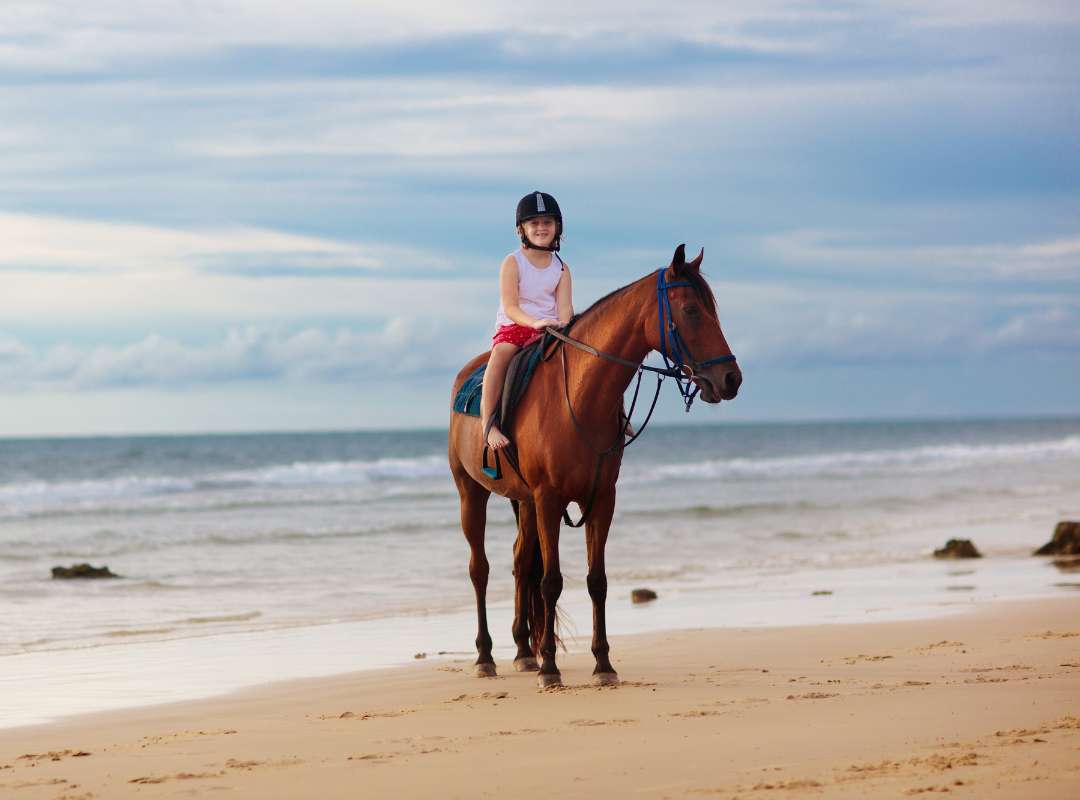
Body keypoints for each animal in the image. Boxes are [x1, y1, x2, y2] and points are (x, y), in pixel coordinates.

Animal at [447, 244, 741, 687]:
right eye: (691, 310)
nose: (730, 379)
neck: (578, 398)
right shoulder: (549, 498)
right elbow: (551, 582)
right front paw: (551, 669)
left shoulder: (601, 498)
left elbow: (596, 581)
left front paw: (602, 664)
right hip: (473, 492)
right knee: (479, 569)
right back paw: (486, 656)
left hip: (524, 502)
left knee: (520, 564)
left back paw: (523, 652)